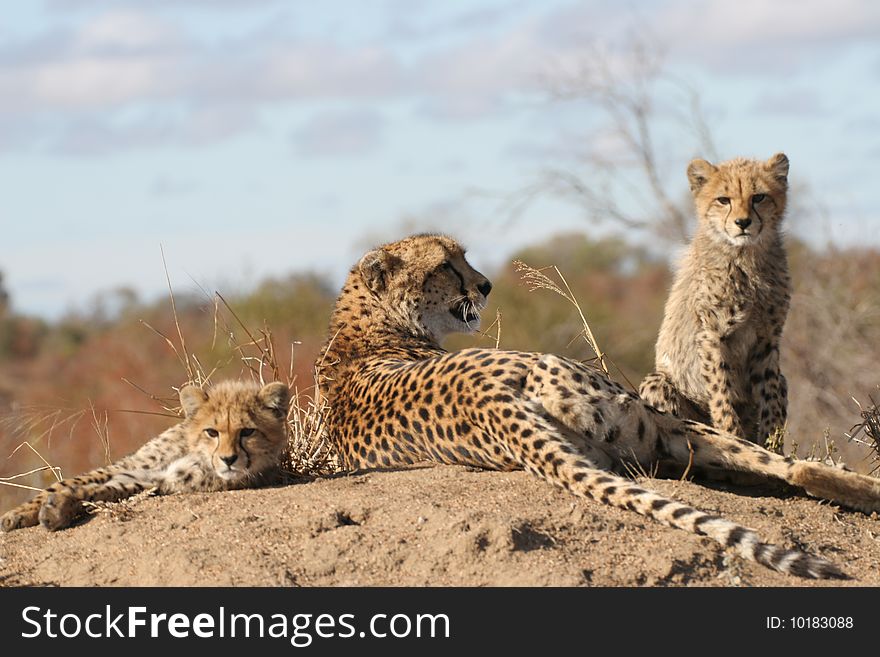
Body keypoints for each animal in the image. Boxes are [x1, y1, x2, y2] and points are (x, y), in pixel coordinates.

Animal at [320, 232, 880, 580]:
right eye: (443, 266)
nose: (485, 284)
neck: (366, 322)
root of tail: (492, 401)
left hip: (636, 438)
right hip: (649, 419)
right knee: (781, 463)